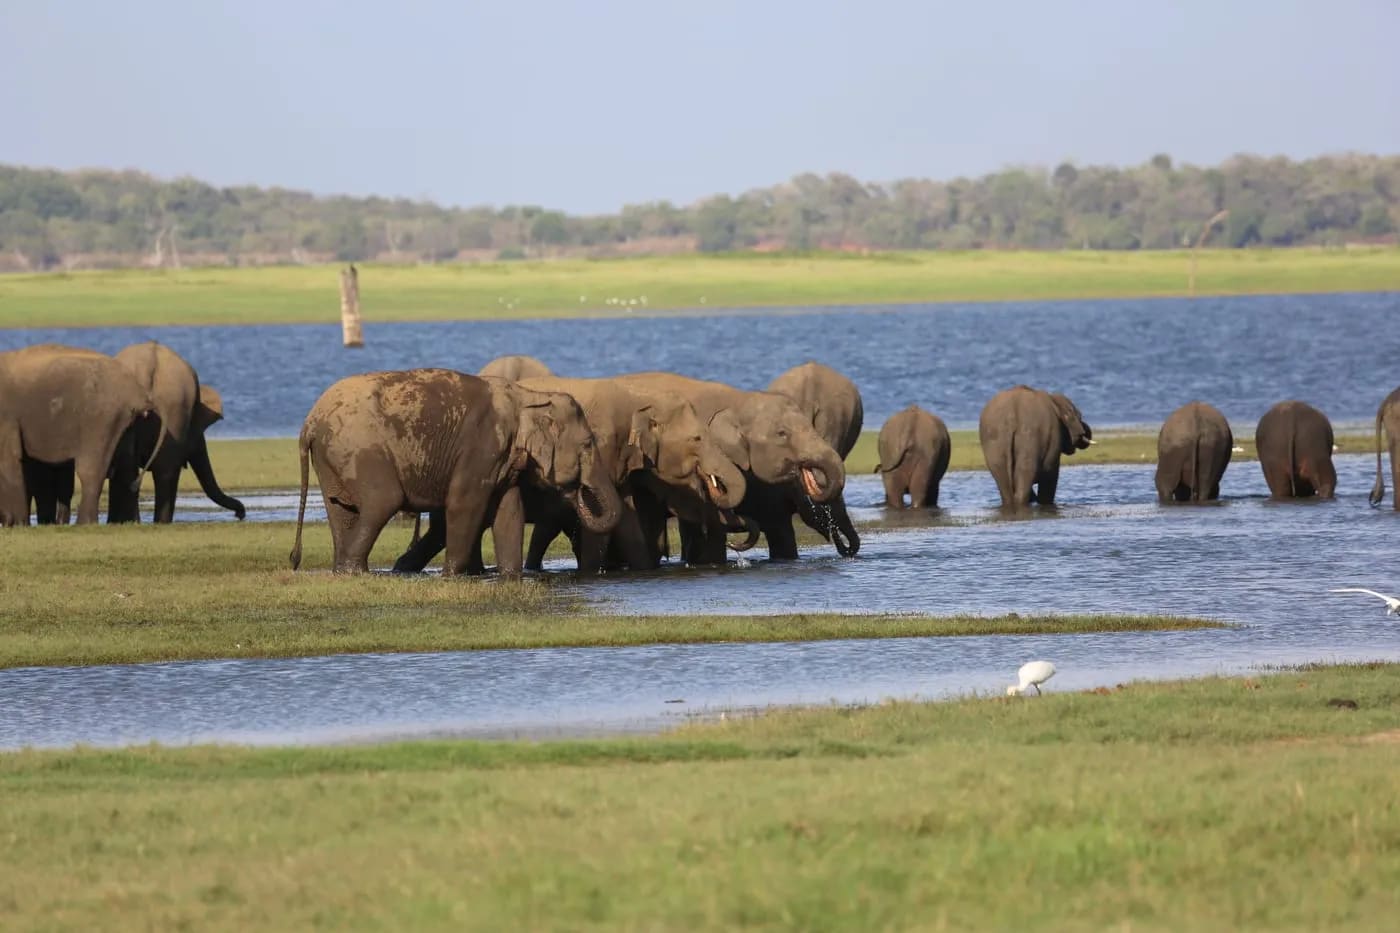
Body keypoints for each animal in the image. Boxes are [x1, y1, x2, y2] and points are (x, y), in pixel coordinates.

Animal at [0, 343, 164, 526]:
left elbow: (10, 459)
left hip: (100, 418)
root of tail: (138, 392)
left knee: (89, 469)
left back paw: (84, 523)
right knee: (124, 466)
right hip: (124, 421)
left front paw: (15, 524)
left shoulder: (7, 417)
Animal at [289, 368, 621, 574]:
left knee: (341, 510)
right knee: (382, 501)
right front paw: (452, 575)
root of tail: (309, 423)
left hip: (332, 458)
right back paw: (356, 571)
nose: (575, 490)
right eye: (588, 444)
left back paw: (344, 570)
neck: (526, 396)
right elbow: (465, 504)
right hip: (360, 450)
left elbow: (509, 511)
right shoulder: (482, 446)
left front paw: (510, 576)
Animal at [393, 377, 747, 574]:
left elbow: (626, 515)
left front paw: (644, 570)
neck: (639, 396)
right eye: (697, 439)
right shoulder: (602, 445)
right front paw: (592, 572)